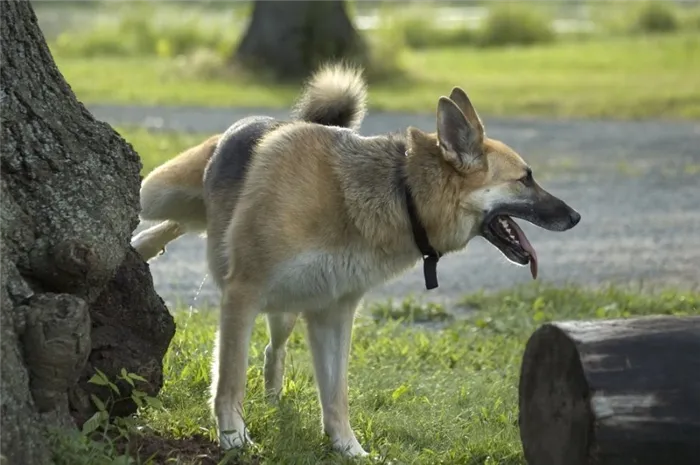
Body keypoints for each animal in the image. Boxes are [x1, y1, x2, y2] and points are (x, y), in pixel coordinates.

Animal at [130, 61, 580, 456]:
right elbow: (230, 379)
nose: (576, 217)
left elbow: (335, 395)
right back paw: (140, 242)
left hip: (286, 309)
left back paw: (273, 397)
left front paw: (348, 449)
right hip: (161, 193)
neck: (400, 193)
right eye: (525, 179)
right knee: (164, 214)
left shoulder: (332, 313)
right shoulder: (242, 295)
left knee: (272, 349)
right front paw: (234, 439)